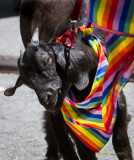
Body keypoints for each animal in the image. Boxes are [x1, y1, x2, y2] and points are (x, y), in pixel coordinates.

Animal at [3, 0, 132, 160]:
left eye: (47, 60)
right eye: (27, 83)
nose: (46, 98)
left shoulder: (117, 104)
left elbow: (122, 145)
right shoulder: (69, 120)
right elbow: (77, 148)